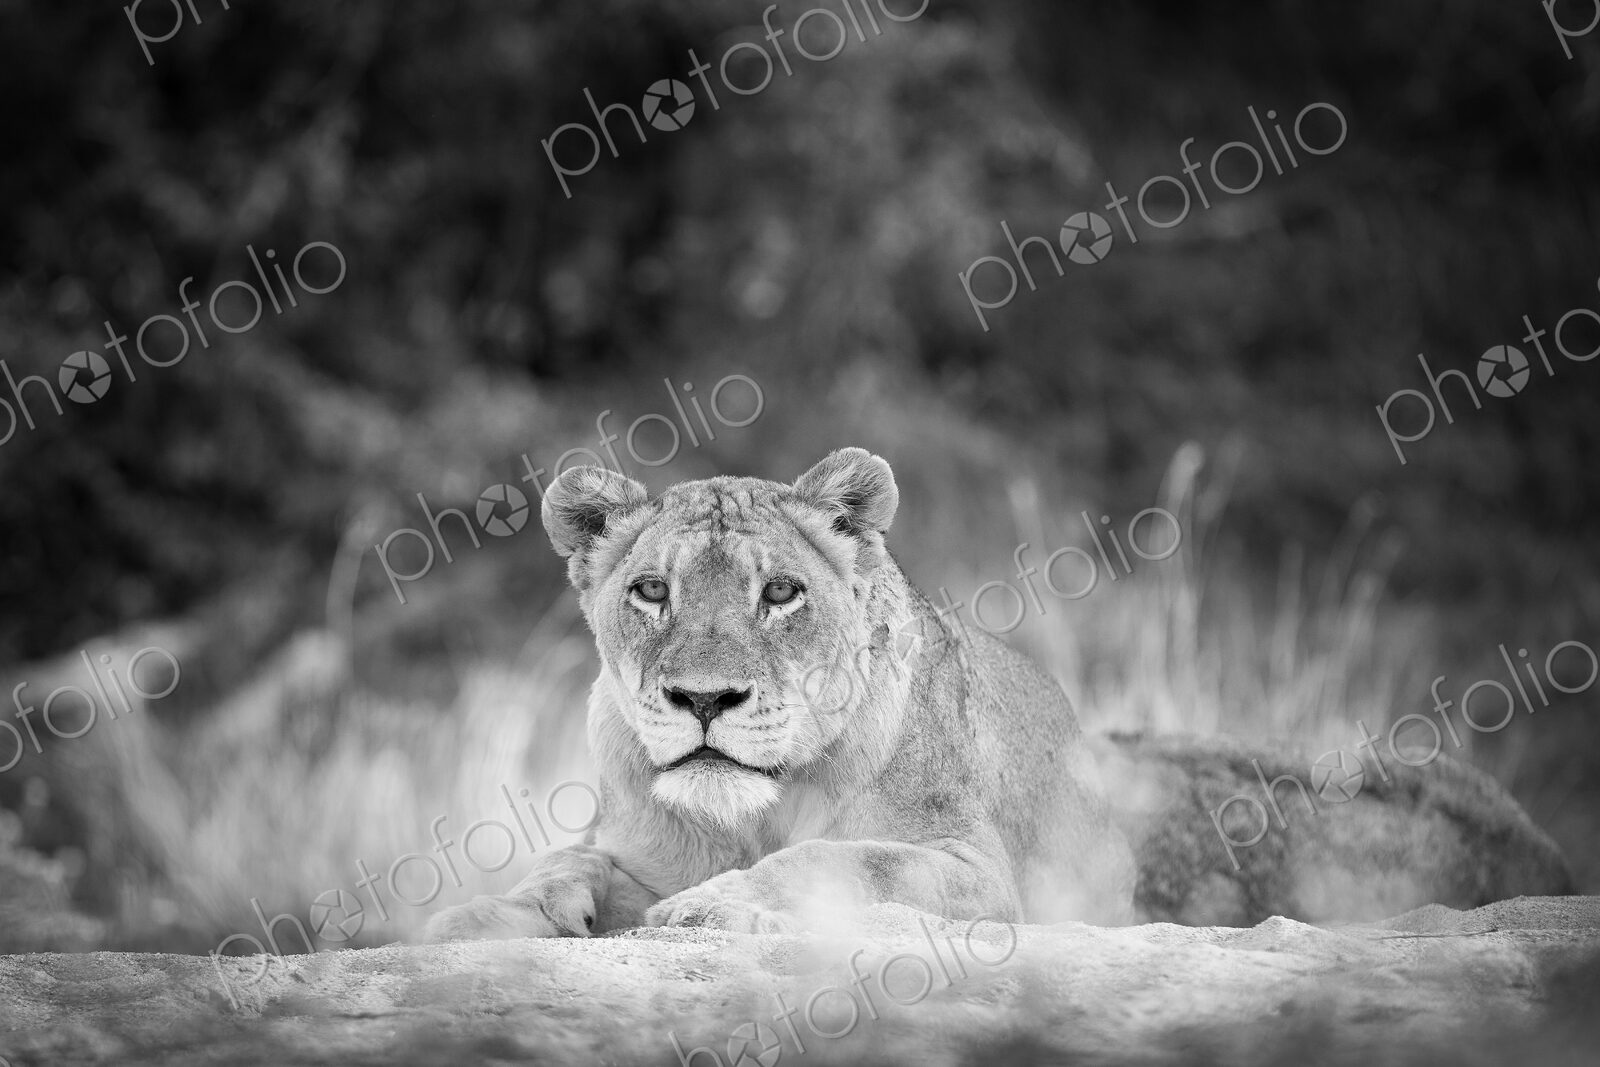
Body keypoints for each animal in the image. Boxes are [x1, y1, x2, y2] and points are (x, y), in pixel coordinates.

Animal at [425, 448, 1574, 941]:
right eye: (651, 591)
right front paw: (482, 912)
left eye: (780, 592)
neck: (753, 807)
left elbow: (837, 858)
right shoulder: (629, 845)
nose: (704, 698)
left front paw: (717, 903)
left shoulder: (975, 872)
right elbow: (565, 863)